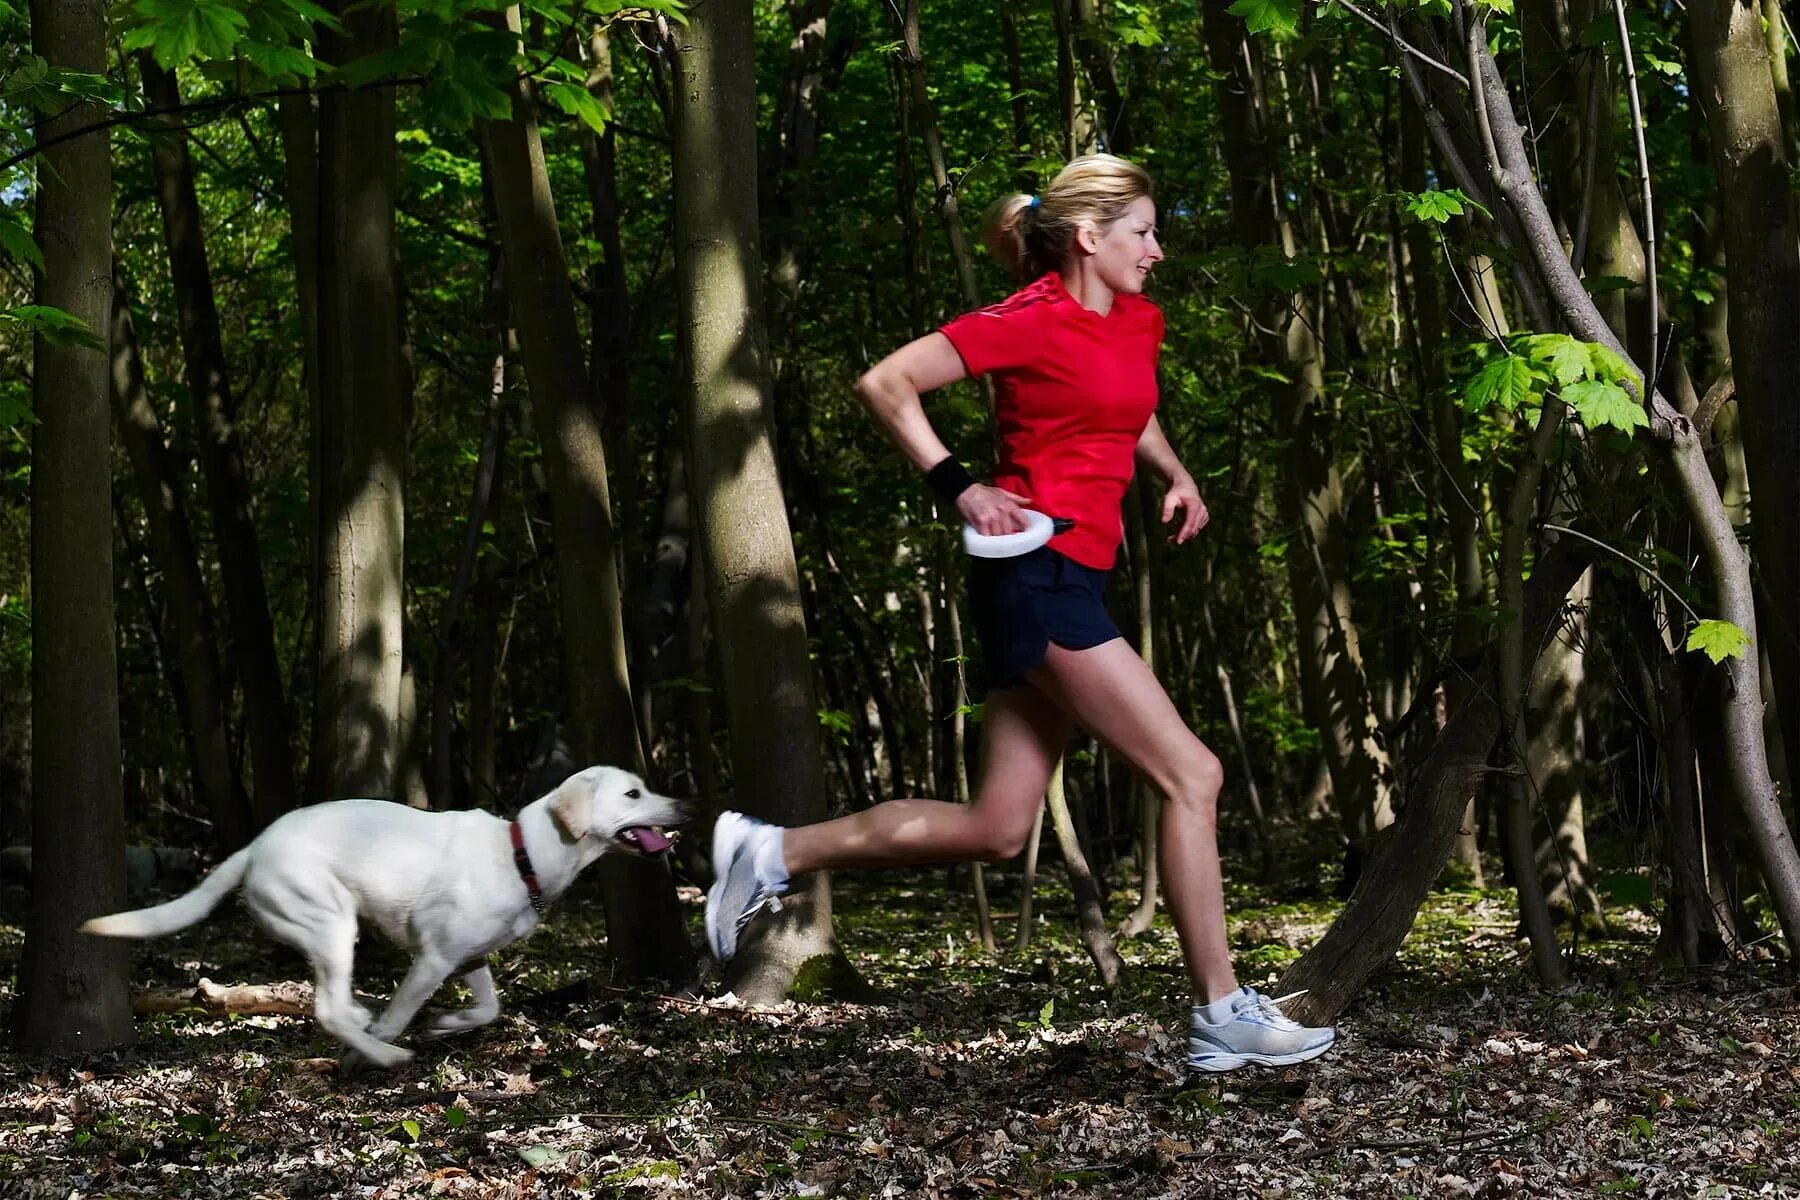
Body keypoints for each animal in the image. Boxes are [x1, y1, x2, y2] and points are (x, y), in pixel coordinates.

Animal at [77, 770, 684, 1072]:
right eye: (634, 793)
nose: (686, 806)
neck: (523, 854)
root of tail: (255, 847)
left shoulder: (468, 957)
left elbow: (489, 1008)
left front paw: (446, 1023)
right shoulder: (433, 960)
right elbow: (402, 1012)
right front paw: (383, 1046)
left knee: (338, 1003)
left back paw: (363, 1018)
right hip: (333, 923)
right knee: (328, 1010)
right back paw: (382, 1052)